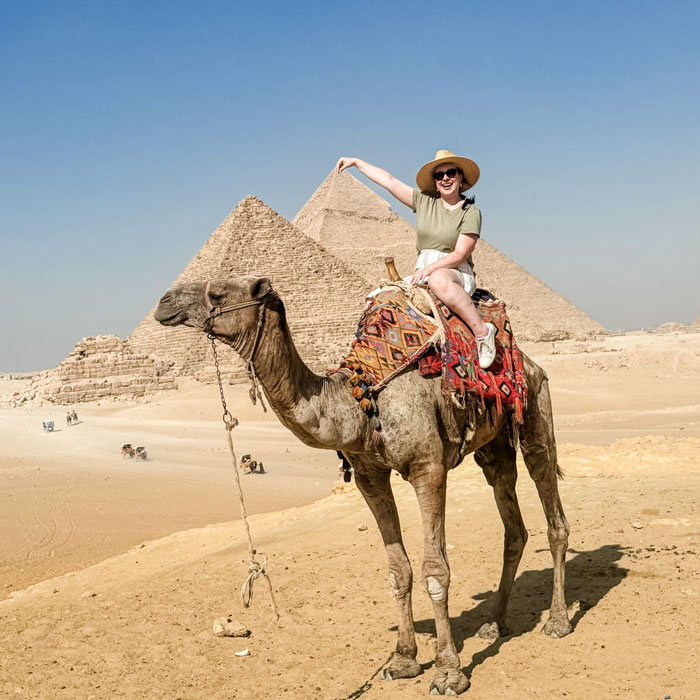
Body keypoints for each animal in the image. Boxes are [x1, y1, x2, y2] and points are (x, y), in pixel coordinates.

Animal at [154, 276, 571, 696]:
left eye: (220, 293)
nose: (164, 301)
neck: (360, 401)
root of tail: (530, 361)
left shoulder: (428, 467)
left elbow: (435, 570)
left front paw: (448, 673)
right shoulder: (369, 477)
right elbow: (398, 570)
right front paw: (403, 660)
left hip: (536, 410)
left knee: (552, 509)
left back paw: (557, 620)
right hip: (493, 445)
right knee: (513, 524)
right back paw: (494, 624)